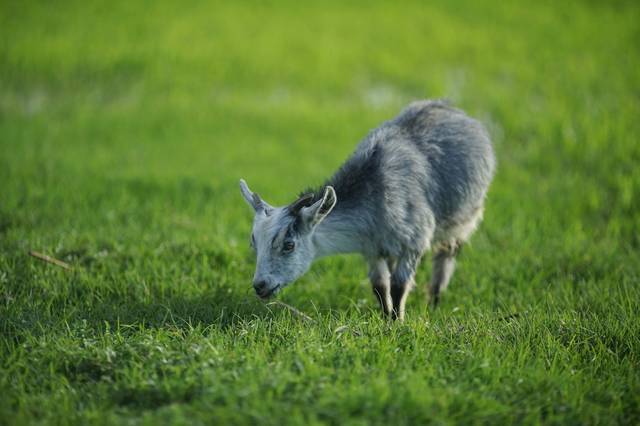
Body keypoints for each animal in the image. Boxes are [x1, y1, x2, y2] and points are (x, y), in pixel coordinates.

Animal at [240, 100, 496, 320]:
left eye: (289, 245)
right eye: (254, 243)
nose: (260, 286)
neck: (376, 195)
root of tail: (453, 109)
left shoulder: (414, 241)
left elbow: (399, 285)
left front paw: (397, 322)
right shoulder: (371, 248)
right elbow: (380, 286)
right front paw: (385, 318)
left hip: (465, 221)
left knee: (445, 260)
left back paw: (433, 304)